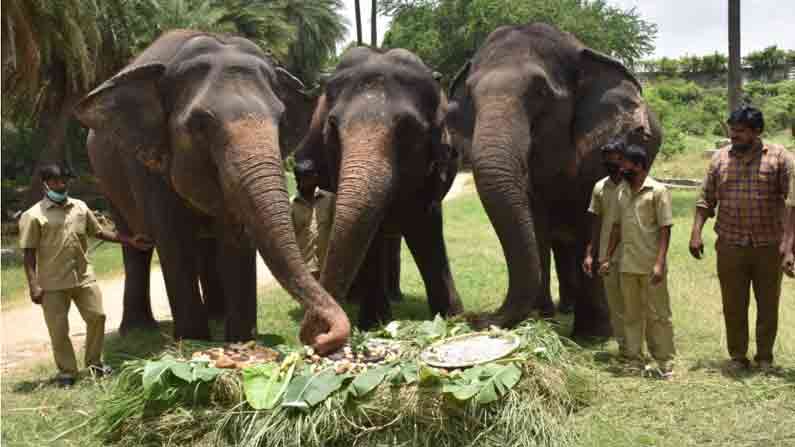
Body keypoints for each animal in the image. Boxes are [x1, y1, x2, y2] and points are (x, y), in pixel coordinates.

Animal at [74, 31, 348, 354]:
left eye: (281, 121)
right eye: (200, 125)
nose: (318, 338)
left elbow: (236, 239)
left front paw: (242, 342)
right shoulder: (149, 165)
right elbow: (174, 240)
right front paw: (192, 344)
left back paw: (216, 315)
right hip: (107, 179)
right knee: (135, 245)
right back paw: (139, 329)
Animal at [296, 47, 464, 328]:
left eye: (408, 129)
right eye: (331, 126)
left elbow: (425, 224)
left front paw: (452, 318)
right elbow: (371, 233)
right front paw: (374, 322)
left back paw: (394, 296)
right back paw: (358, 298)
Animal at [444, 21, 664, 336]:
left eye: (540, 94)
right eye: (471, 98)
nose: (475, 318)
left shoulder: (603, 147)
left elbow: (592, 217)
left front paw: (593, 334)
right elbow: (535, 220)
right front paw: (540, 318)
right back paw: (565, 308)